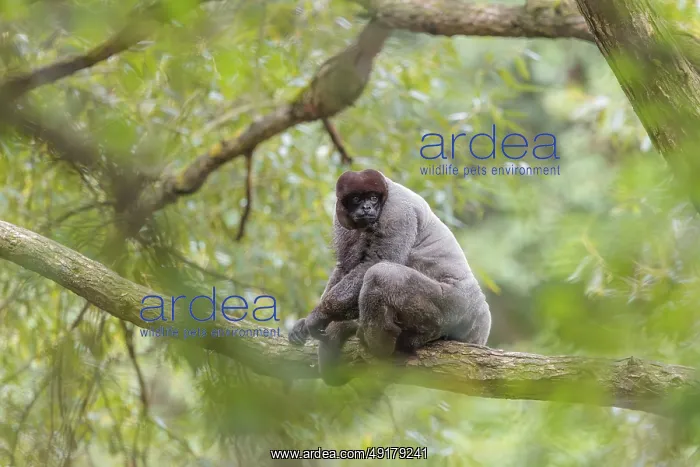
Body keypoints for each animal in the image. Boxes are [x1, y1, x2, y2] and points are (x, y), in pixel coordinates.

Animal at [288, 169, 491, 385]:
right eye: (356, 198)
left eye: (373, 198)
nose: (367, 207)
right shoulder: (340, 217)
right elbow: (345, 265)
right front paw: (306, 321)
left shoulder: (397, 212)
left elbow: (375, 263)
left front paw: (318, 316)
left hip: (455, 307)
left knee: (379, 275)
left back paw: (381, 347)